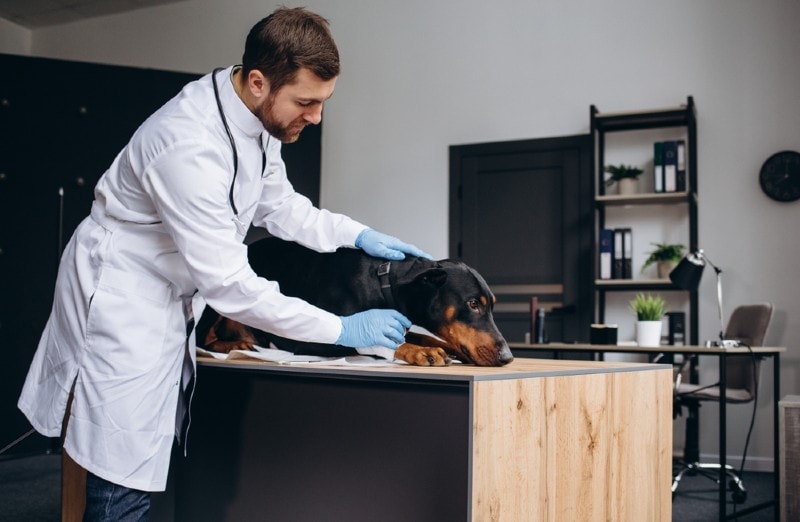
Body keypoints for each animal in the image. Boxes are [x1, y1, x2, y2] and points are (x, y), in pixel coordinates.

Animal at [199, 237, 512, 366]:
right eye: (473, 304)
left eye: (492, 305)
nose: (507, 357)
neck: (384, 283)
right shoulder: (310, 341)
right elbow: (368, 340)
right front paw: (414, 351)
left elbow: (424, 336)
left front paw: (444, 348)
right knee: (203, 340)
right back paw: (235, 345)